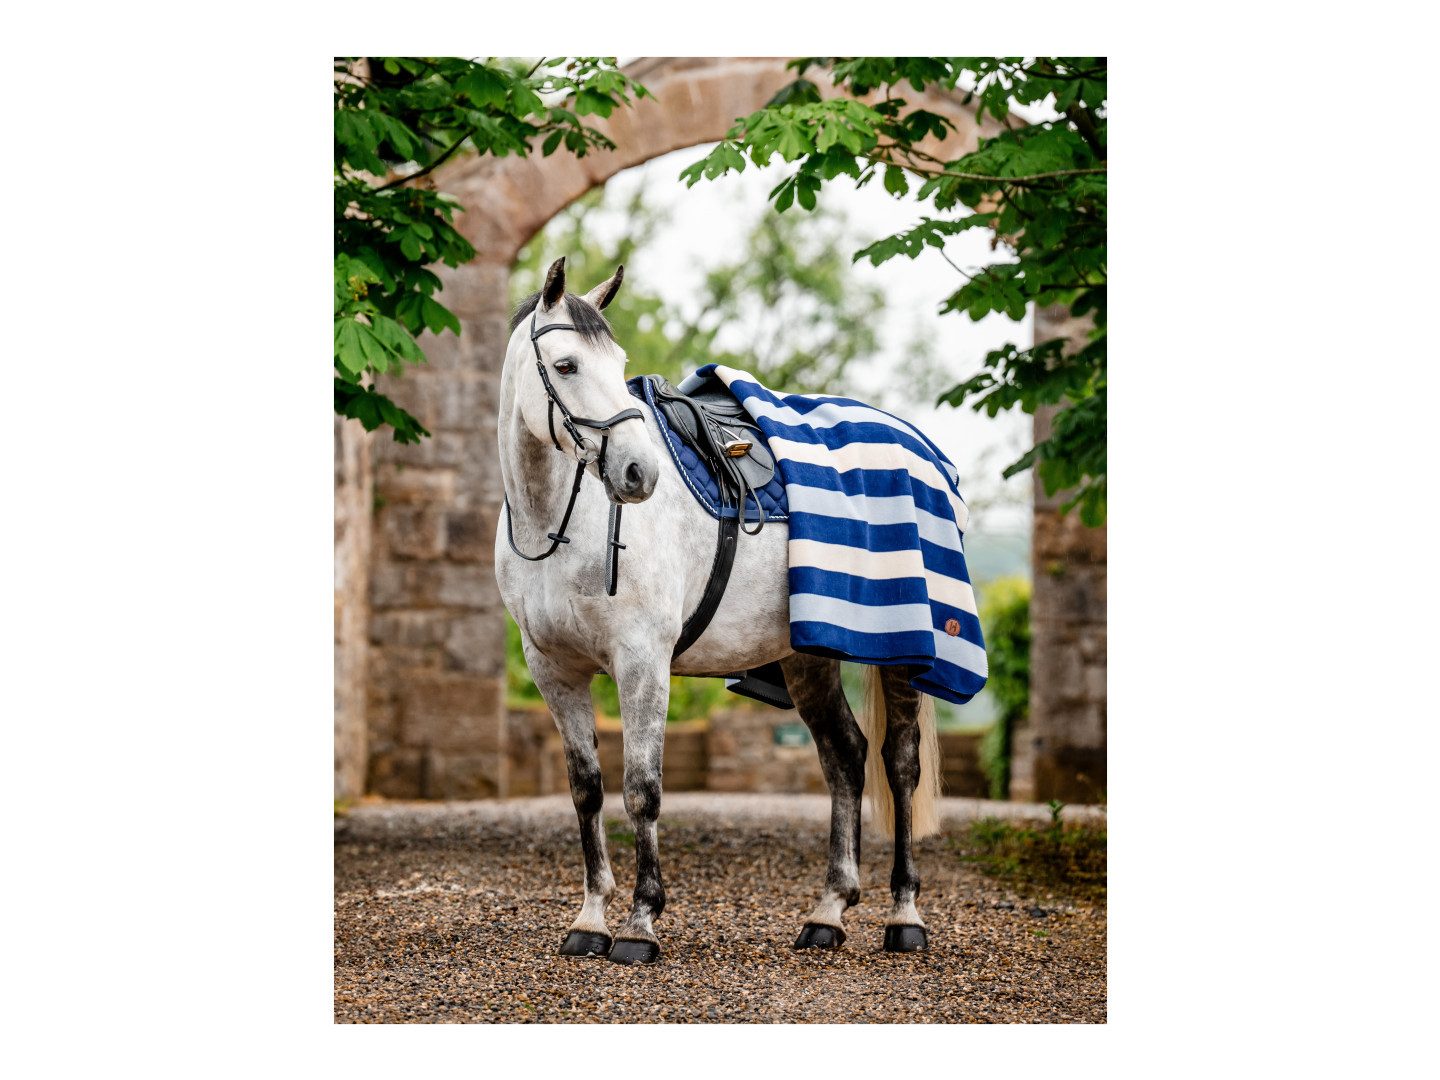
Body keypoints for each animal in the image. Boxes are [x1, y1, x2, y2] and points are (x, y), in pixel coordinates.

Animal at [495, 257, 943, 965]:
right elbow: (587, 789)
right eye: (565, 365)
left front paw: (640, 923)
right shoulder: (554, 671)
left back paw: (905, 915)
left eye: (617, 361)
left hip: (900, 650)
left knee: (899, 765)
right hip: (808, 656)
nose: (638, 473)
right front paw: (590, 919)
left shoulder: (642, 662)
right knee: (845, 757)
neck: (559, 525)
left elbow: (642, 791)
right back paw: (828, 913)